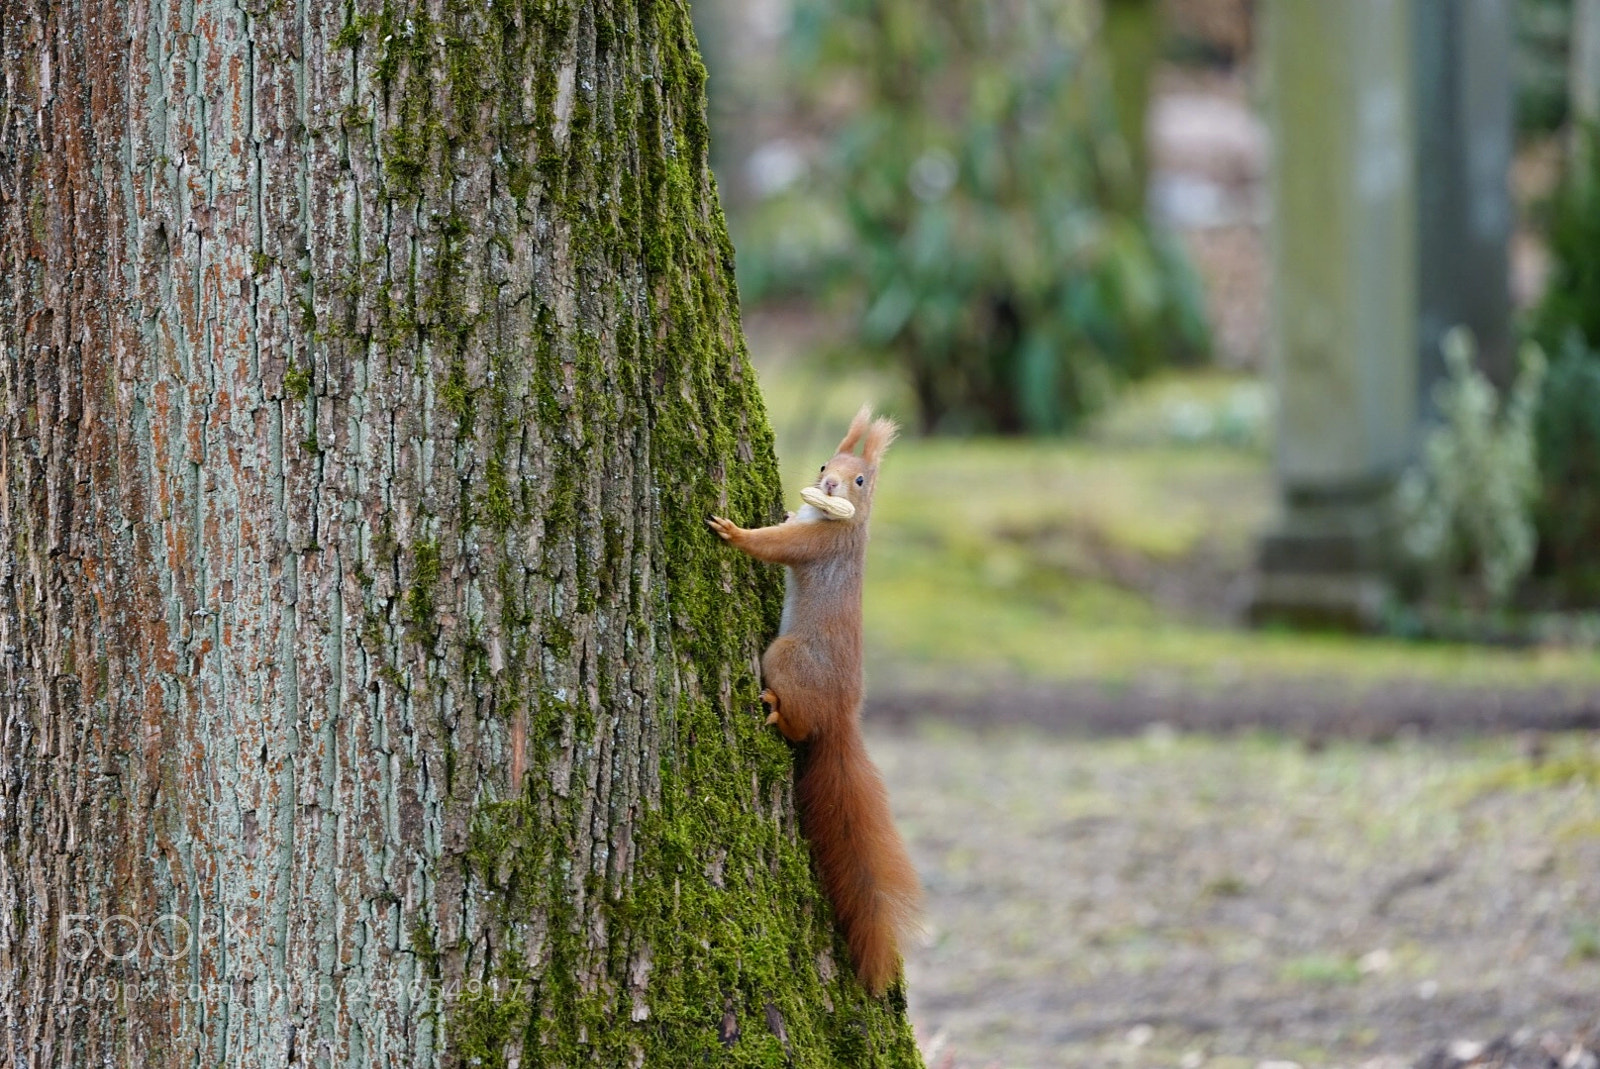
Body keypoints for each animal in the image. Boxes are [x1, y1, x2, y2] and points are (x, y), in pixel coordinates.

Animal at [708, 405, 922, 996]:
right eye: (827, 463)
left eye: (860, 481)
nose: (827, 485)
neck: (840, 522)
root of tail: (840, 719)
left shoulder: (813, 546)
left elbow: (773, 545)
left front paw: (733, 531)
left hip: (784, 658)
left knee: (799, 726)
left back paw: (778, 714)